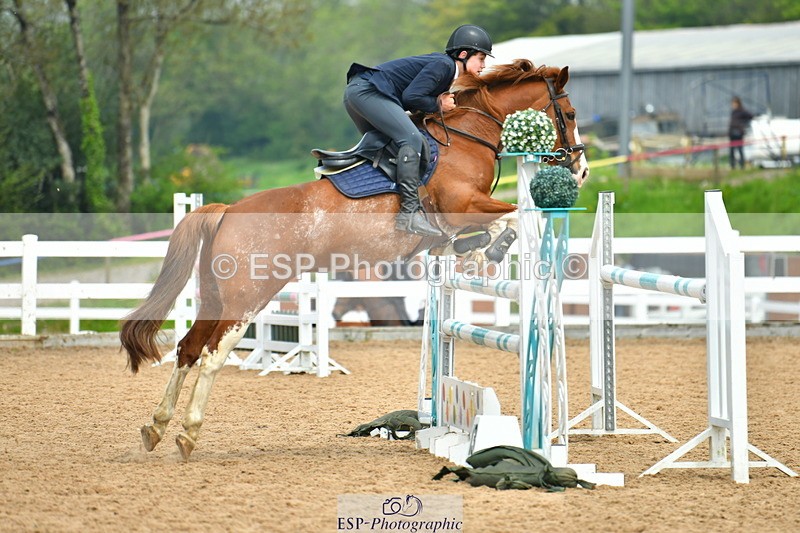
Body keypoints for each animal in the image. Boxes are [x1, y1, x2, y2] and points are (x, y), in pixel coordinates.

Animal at [120, 59, 589, 460]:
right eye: (568, 112)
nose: (581, 170)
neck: (466, 137)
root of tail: (229, 210)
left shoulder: (450, 227)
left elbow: (468, 237)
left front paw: (474, 251)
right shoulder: (465, 205)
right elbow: (510, 214)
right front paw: (492, 247)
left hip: (216, 298)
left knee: (187, 349)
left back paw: (156, 428)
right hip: (246, 299)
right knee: (213, 355)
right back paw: (187, 434)